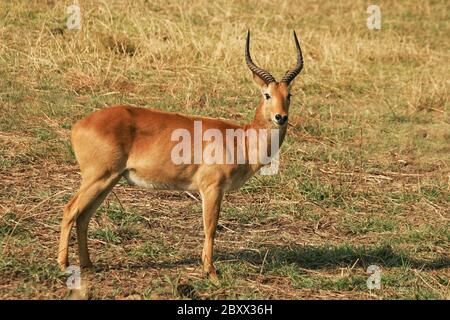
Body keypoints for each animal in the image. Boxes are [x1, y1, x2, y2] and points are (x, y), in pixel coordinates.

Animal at [56, 30, 302, 280]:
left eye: (289, 94)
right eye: (267, 95)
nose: (281, 117)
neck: (239, 139)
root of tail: (79, 125)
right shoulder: (211, 188)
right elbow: (210, 228)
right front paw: (211, 272)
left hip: (108, 181)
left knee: (83, 216)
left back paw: (88, 265)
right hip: (98, 177)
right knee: (70, 209)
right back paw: (64, 265)